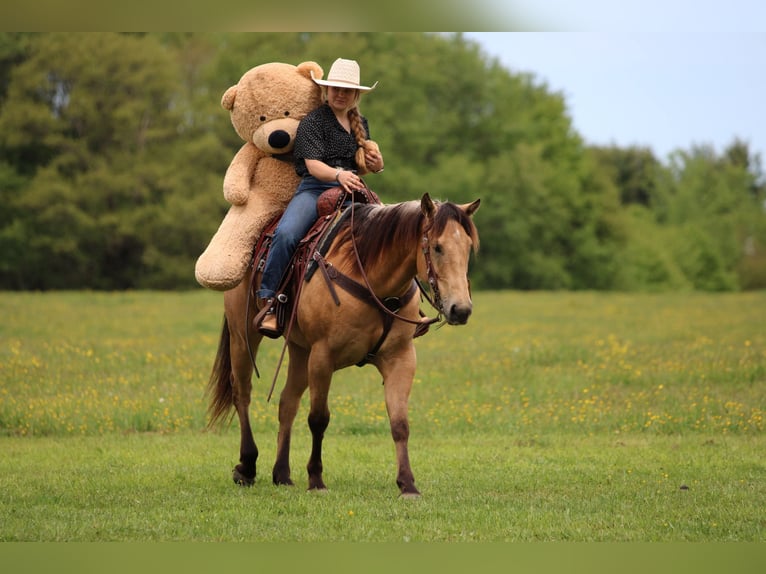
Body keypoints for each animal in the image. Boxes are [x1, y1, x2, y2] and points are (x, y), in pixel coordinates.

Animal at [206, 191, 480, 497]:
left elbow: (400, 423)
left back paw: (282, 474)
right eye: (437, 247)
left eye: (468, 247)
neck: (372, 278)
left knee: (287, 402)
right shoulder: (322, 357)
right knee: (242, 393)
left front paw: (407, 484)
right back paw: (247, 466)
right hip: (243, 338)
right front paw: (316, 479)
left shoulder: (401, 359)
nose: (460, 309)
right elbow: (318, 419)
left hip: (300, 351)